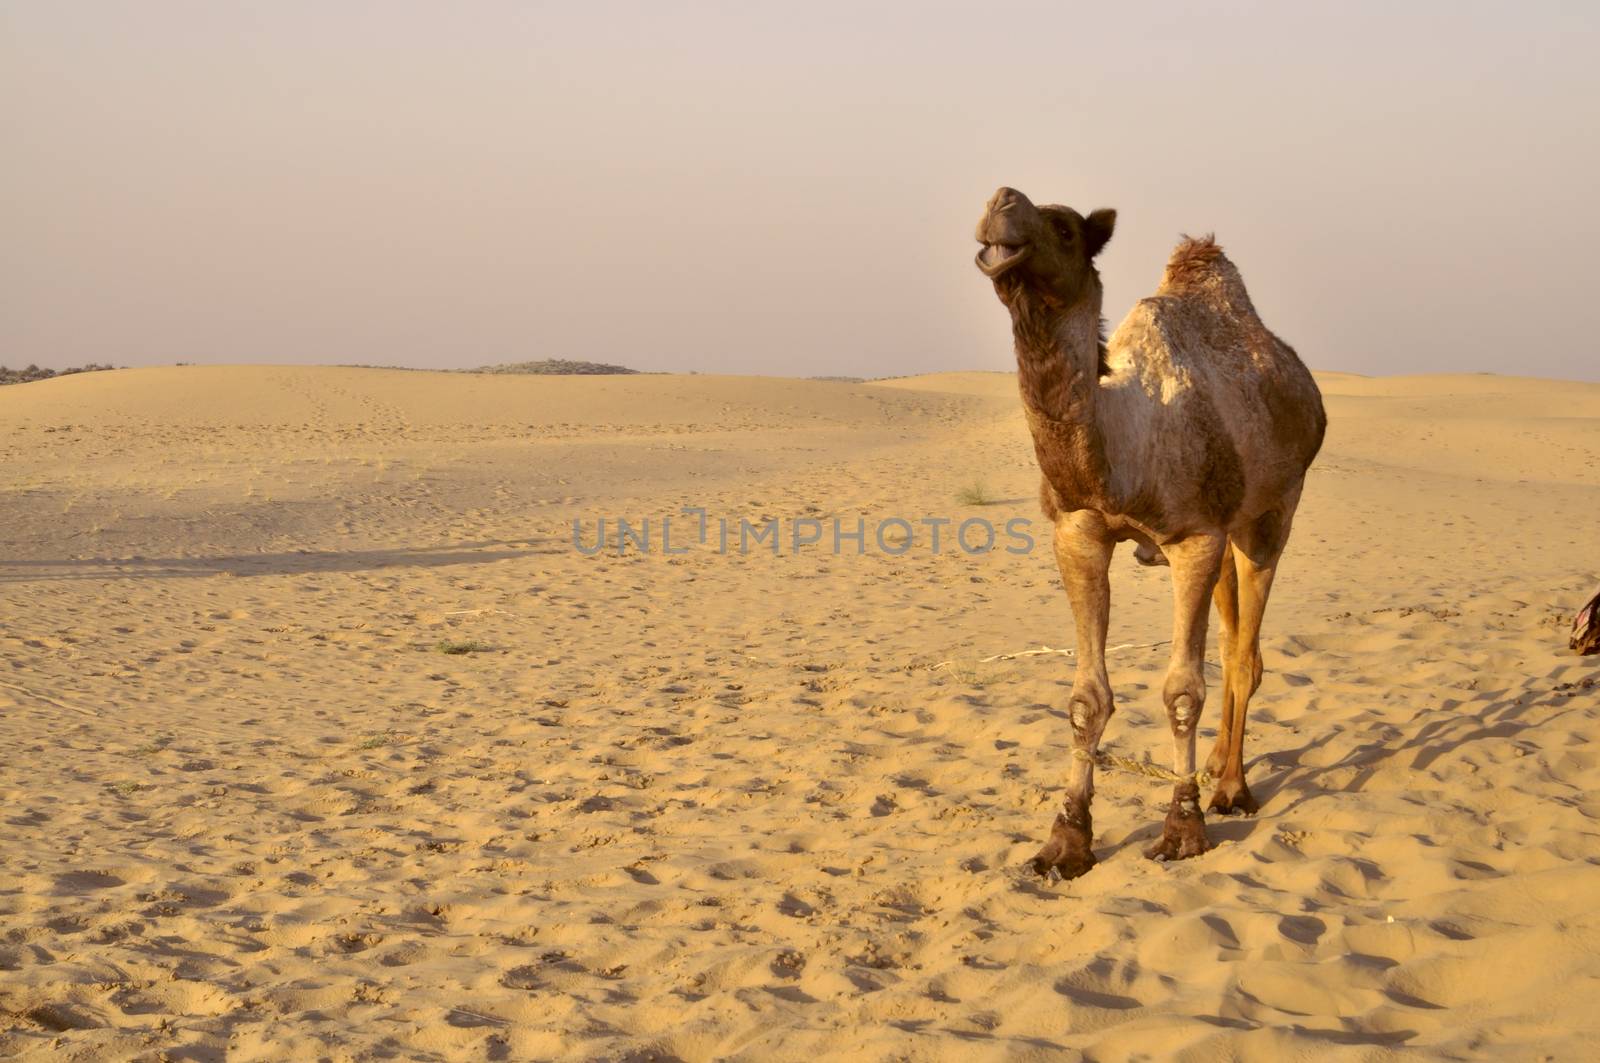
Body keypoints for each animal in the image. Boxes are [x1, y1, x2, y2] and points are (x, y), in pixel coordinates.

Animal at [972, 186, 1324, 877]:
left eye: (1064, 228)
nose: (1001, 200)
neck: (1124, 446)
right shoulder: (1079, 532)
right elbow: (1087, 698)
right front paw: (1064, 842)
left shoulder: (1194, 539)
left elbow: (1182, 690)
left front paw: (1182, 829)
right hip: (1231, 533)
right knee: (1233, 640)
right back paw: (1217, 764)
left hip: (1272, 514)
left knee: (1245, 654)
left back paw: (1231, 788)